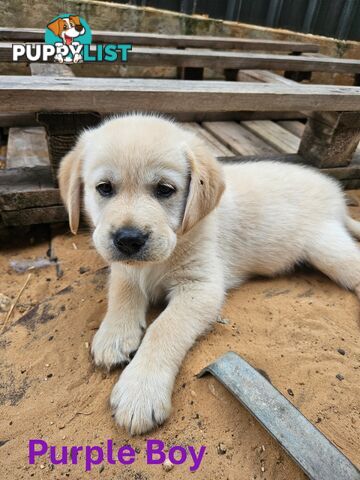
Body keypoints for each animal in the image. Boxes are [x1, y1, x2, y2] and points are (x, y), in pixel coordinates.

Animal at [57, 115, 360, 436]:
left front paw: (141, 389)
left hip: (328, 249)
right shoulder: (125, 268)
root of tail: (337, 197)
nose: (128, 239)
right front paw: (114, 335)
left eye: (164, 189)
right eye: (104, 188)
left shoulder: (200, 288)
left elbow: (164, 328)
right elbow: (122, 292)